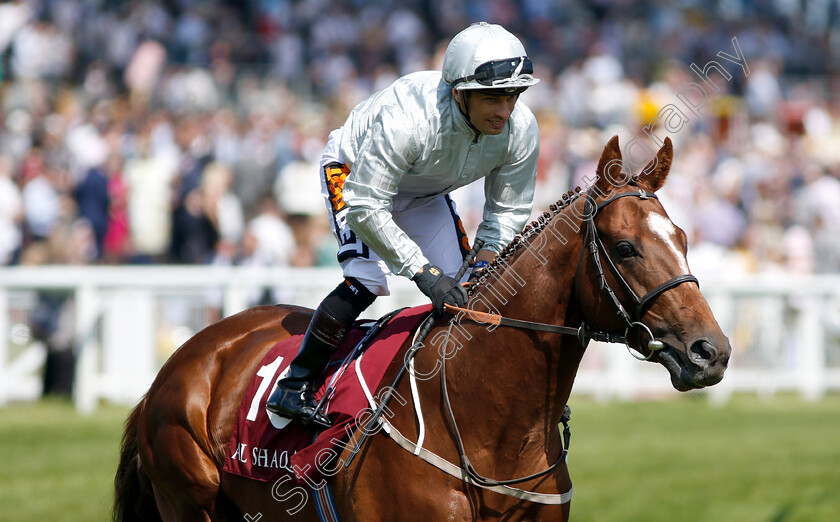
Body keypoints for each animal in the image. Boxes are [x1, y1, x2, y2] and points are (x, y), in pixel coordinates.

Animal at [113, 137, 728, 520]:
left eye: (683, 238)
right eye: (624, 248)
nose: (711, 351)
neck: (492, 427)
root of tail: (180, 362)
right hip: (190, 501)